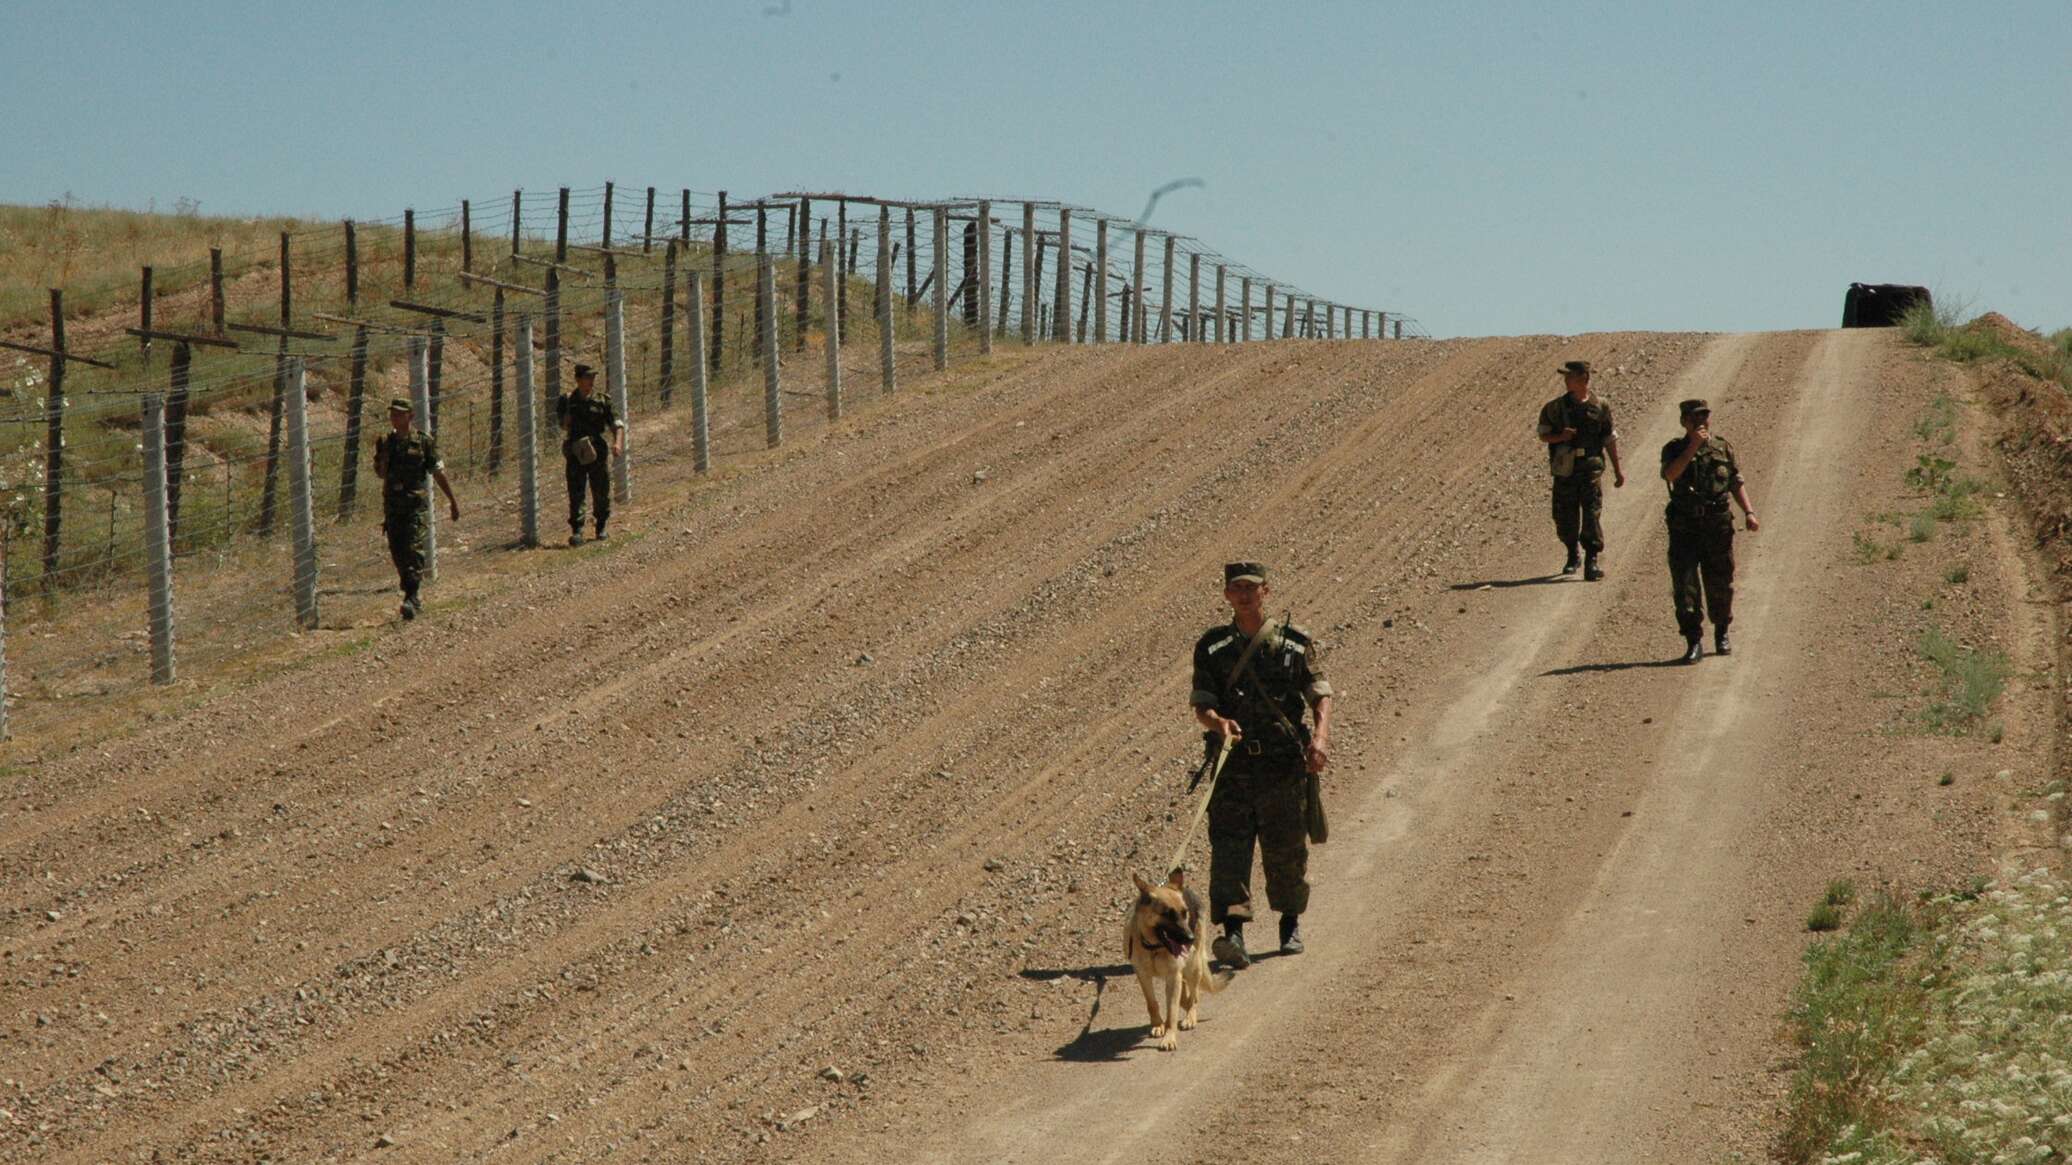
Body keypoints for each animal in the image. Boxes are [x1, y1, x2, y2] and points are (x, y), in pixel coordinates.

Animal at [1118, 862, 1226, 1044]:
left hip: (1193, 966)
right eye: (1167, 914)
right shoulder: (1143, 976)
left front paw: (1169, 1037)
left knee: (1194, 996)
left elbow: (1172, 1010)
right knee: (1185, 994)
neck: (1154, 947)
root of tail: (1186, 889)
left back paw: (1190, 1017)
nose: (1189, 939)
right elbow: (1152, 1003)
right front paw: (1158, 1025)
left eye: (1184, 912)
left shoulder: (1173, 975)